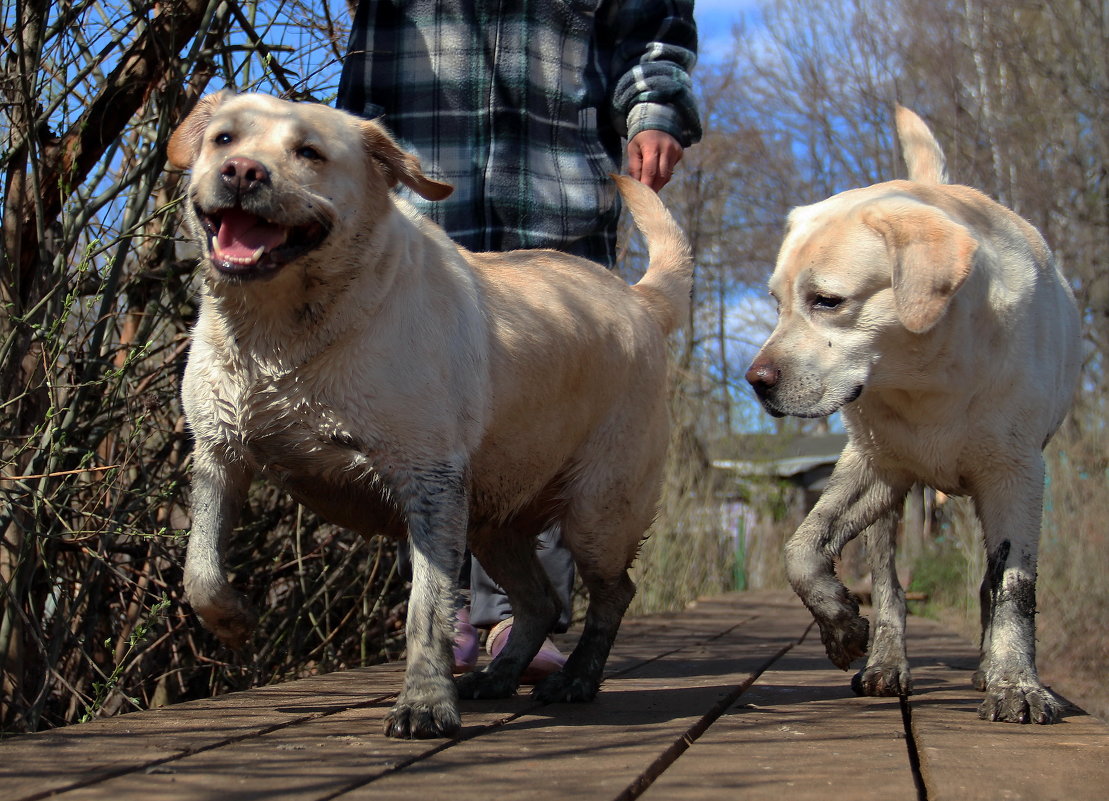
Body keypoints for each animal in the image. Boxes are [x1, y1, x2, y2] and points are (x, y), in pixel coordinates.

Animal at [167, 92, 687, 736]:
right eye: (223, 139)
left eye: (309, 152)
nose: (241, 172)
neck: (280, 339)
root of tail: (639, 299)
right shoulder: (218, 454)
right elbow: (200, 569)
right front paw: (233, 619)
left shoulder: (430, 482)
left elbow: (428, 609)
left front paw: (424, 703)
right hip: (494, 521)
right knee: (539, 600)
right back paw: (498, 675)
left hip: (598, 514)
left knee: (613, 594)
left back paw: (576, 679)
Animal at [749, 107, 1077, 723]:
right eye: (777, 303)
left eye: (827, 301)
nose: (756, 382)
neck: (930, 379)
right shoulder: (872, 467)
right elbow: (801, 549)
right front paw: (841, 628)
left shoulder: (1017, 477)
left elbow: (1013, 587)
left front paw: (1015, 683)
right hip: (891, 504)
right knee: (888, 585)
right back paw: (885, 660)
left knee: (987, 584)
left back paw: (986, 667)